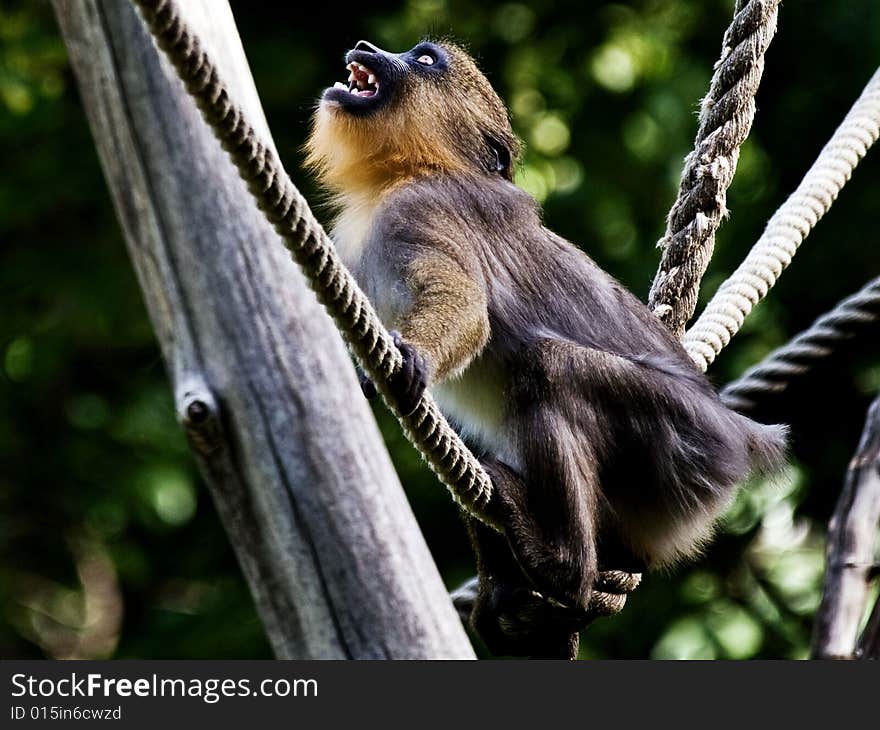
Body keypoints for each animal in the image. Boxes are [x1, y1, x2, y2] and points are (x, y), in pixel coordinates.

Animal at [306, 37, 788, 656]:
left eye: (425, 59)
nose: (367, 47)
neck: (404, 171)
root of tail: (740, 434)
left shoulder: (423, 209)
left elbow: (467, 312)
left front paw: (412, 355)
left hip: (685, 442)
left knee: (548, 366)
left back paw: (561, 564)